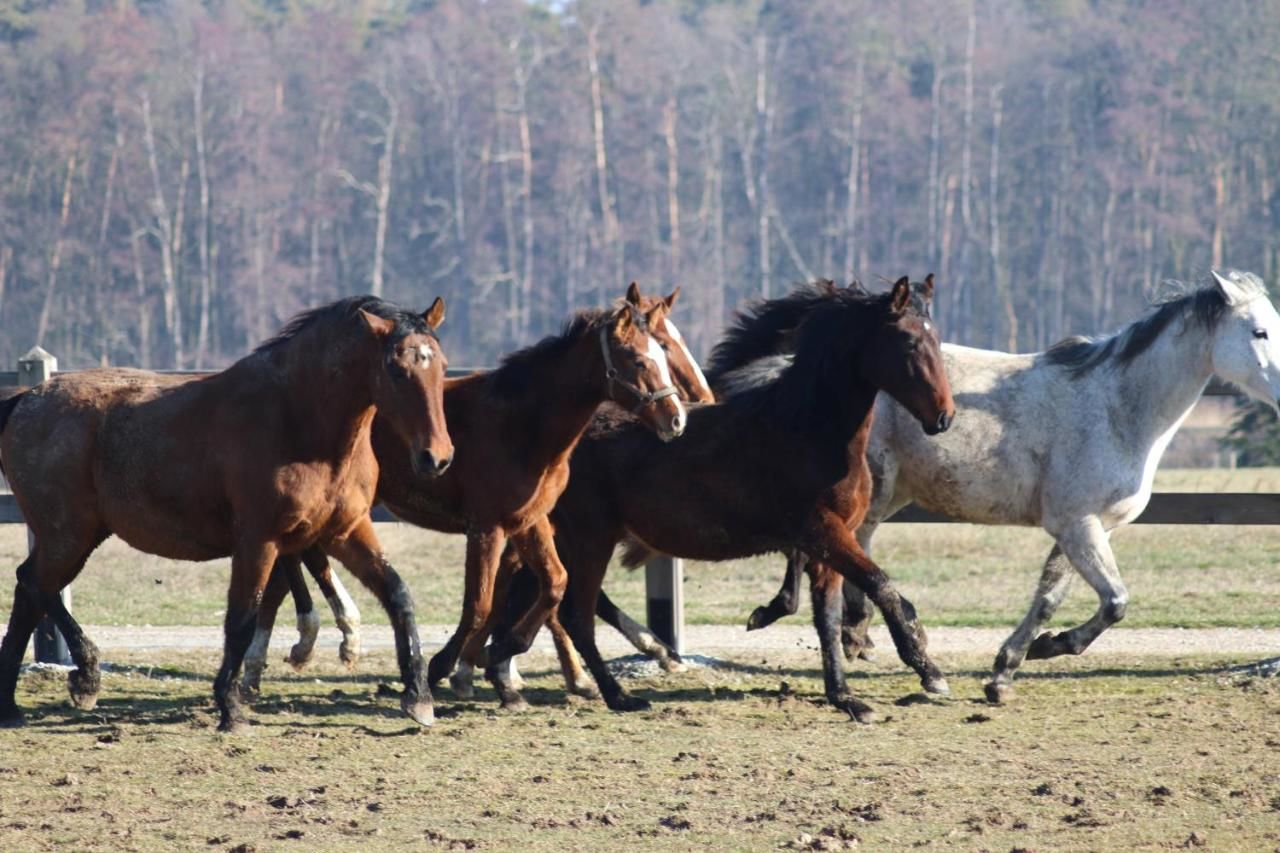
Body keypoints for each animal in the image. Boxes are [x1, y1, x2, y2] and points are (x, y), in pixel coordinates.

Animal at [0, 295, 453, 727]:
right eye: (396, 369)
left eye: (441, 365)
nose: (437, 457)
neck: (298, 421)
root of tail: (25, 400)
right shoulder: (258, 540)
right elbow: (243, 618)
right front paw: (230, 707)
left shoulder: (345, 531)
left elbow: (397, 594)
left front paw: (419, 698)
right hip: (68, 534)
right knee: (34, 584)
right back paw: (84, 675)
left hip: (77, 536)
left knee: (30, 590)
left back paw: (21, 703)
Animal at [483, 277, 957, 717]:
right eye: (909, 341)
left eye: (935, 338)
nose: (943, 417)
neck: (807, 430)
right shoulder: (822, 531)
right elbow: (882, 587)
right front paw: (929, 672)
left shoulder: (828, 542)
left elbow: (827, 616)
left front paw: (845, 697)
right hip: (589, 538)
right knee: (574, 613)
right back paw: (615, 694)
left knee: (542, 595)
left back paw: (505, 674)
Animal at [721, 268, 1280, 701]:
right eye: (1258, 332)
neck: (1119, 408)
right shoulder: (1078, 525)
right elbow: (1115, 601)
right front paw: (1045, 649)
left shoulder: (1085, 527)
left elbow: (1056, 598)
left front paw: (1011, 667)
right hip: (870, 487)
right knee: (820, 550)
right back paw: (808, 620)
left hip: (883, 494)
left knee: (848, 551)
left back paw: (857, 632)